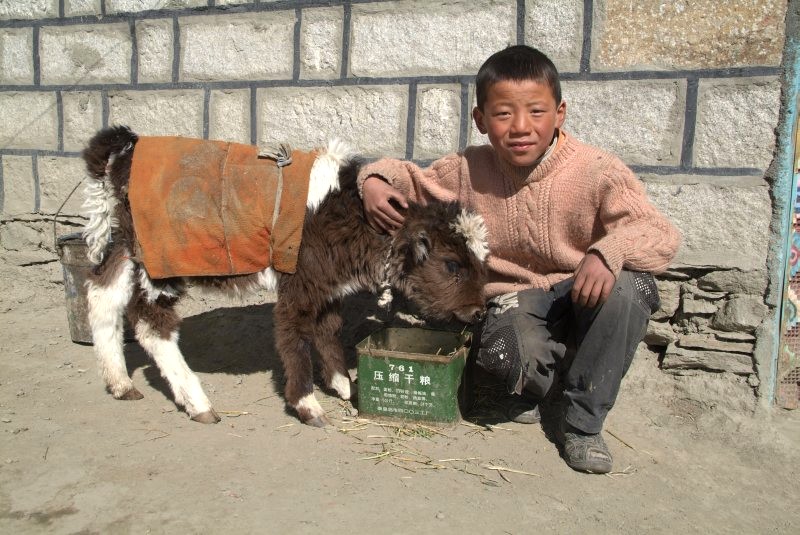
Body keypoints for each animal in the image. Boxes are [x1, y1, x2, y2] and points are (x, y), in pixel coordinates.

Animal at [79, 126, 488, 428]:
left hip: (130, 246)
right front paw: (308, 405)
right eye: (452, 264)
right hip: (163, 263)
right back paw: (198, 403)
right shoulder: (299, 282)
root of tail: (129, 146)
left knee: (102, 294)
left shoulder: (327, 283)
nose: (479, 310)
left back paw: (120, 383)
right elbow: (294, 334)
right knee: (151, 324)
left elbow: (328, 327)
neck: (346, 213)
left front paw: (342, 384)